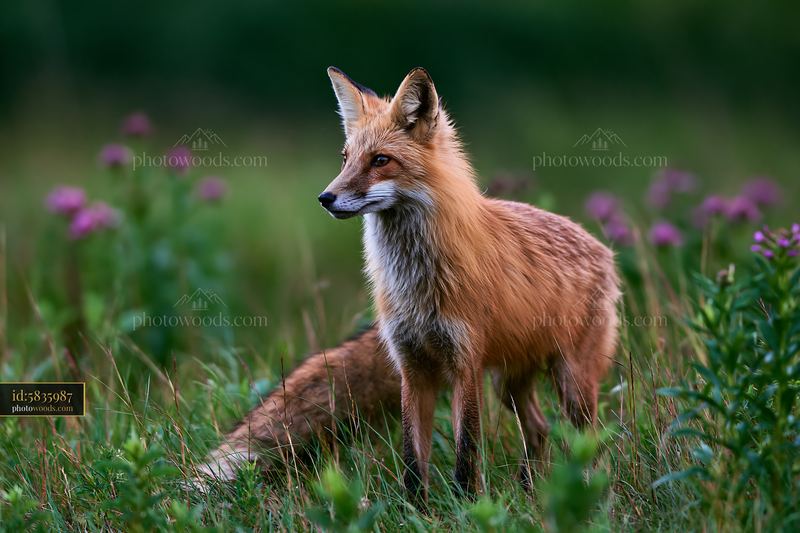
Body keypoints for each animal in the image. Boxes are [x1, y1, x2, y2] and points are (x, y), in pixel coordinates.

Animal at [197, 67, 620, 503]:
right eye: (345, 159)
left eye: (380, 160)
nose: (325, 198)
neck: (415, 285)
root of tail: (602, 250)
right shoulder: (410, 365)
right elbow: (412, 459)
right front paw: (415, 508)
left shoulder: (464, 364)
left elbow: (466, 452)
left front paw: (467, 507)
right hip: (508, 381)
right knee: (539, 428)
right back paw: (528, 495)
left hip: (572, 382)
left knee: (588, 439)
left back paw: (587, 496)